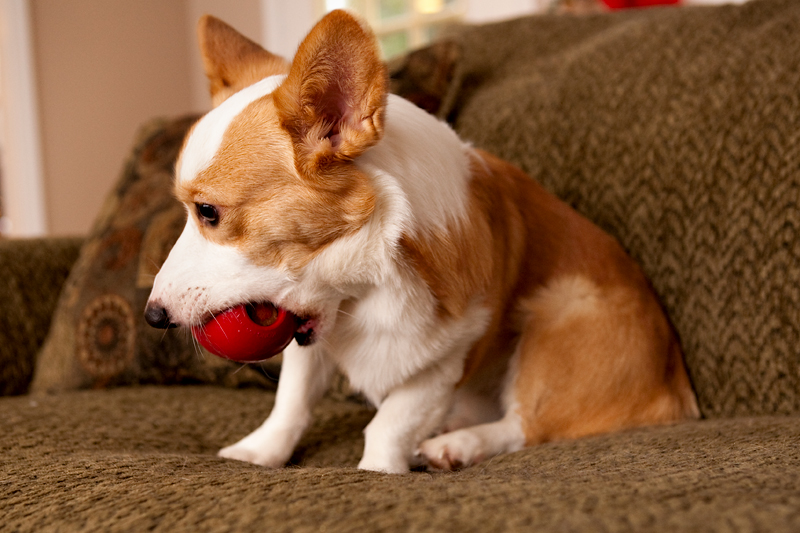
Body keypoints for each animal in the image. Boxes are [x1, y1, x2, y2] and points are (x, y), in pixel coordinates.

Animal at [145, 10, 700, 472]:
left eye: (209, 212)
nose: (152, 316)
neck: (358, 283)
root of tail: (677, 389)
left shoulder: (444, 360)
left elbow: (390, 424)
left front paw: (378, 472)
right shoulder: (305, 328)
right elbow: (292, 401)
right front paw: (259, 452)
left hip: (558, 321)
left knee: (525, 426)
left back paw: (456, 444)